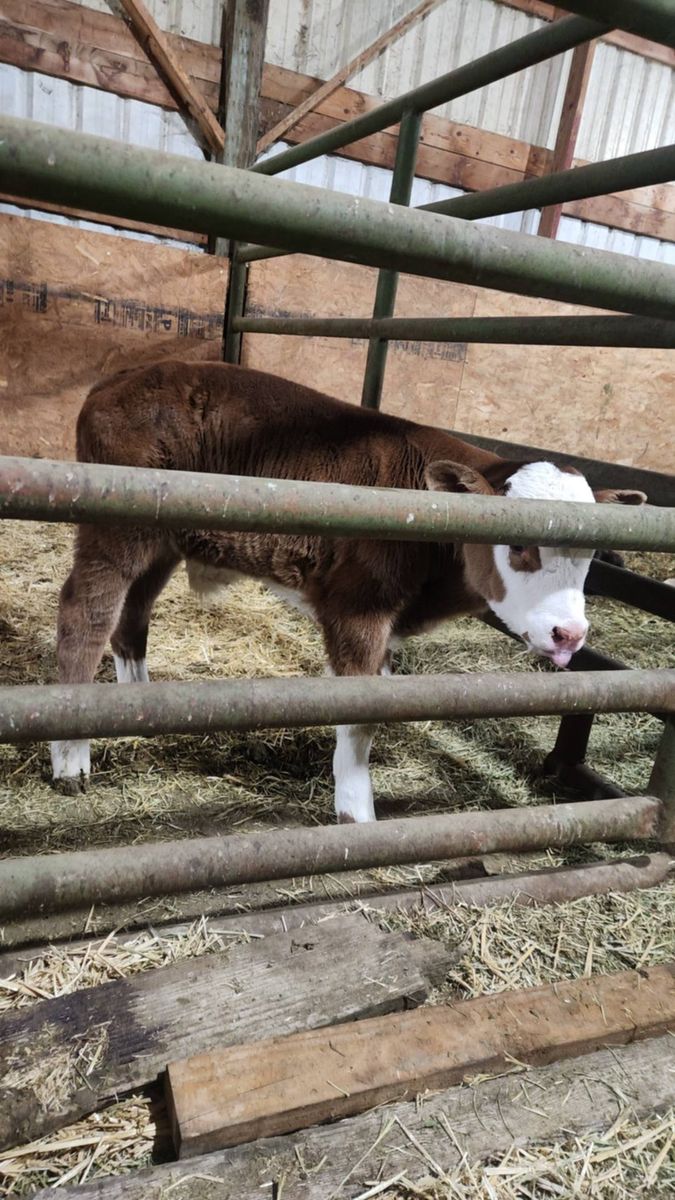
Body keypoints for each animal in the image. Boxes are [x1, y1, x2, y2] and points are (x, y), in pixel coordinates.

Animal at [50, 360, 646, 822]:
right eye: (518, 544)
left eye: (593, 552)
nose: (570, 634)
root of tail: (122, 377)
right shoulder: (358, 605)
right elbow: (360, 712)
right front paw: (357, 815)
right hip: (115, 525)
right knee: (87, 612)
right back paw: (71, 755)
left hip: (162, 537)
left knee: (133, 612)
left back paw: (137, 708)